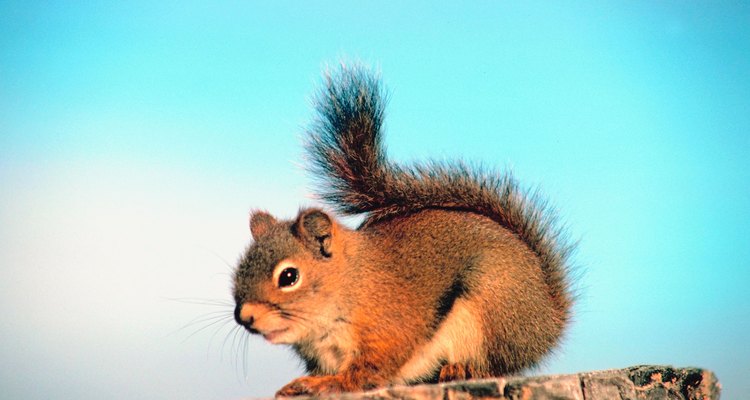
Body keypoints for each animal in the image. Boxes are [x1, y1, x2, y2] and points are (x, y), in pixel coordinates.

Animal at [234, 64, 576, 396]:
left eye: (289, 276)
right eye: (238, 271)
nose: (244, 316)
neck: (351, 283)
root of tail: (549, 319)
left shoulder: (388, 328)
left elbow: (364, 372)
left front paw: (324, 384)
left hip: (493, 304)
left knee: (495, 364)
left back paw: (463, 369)